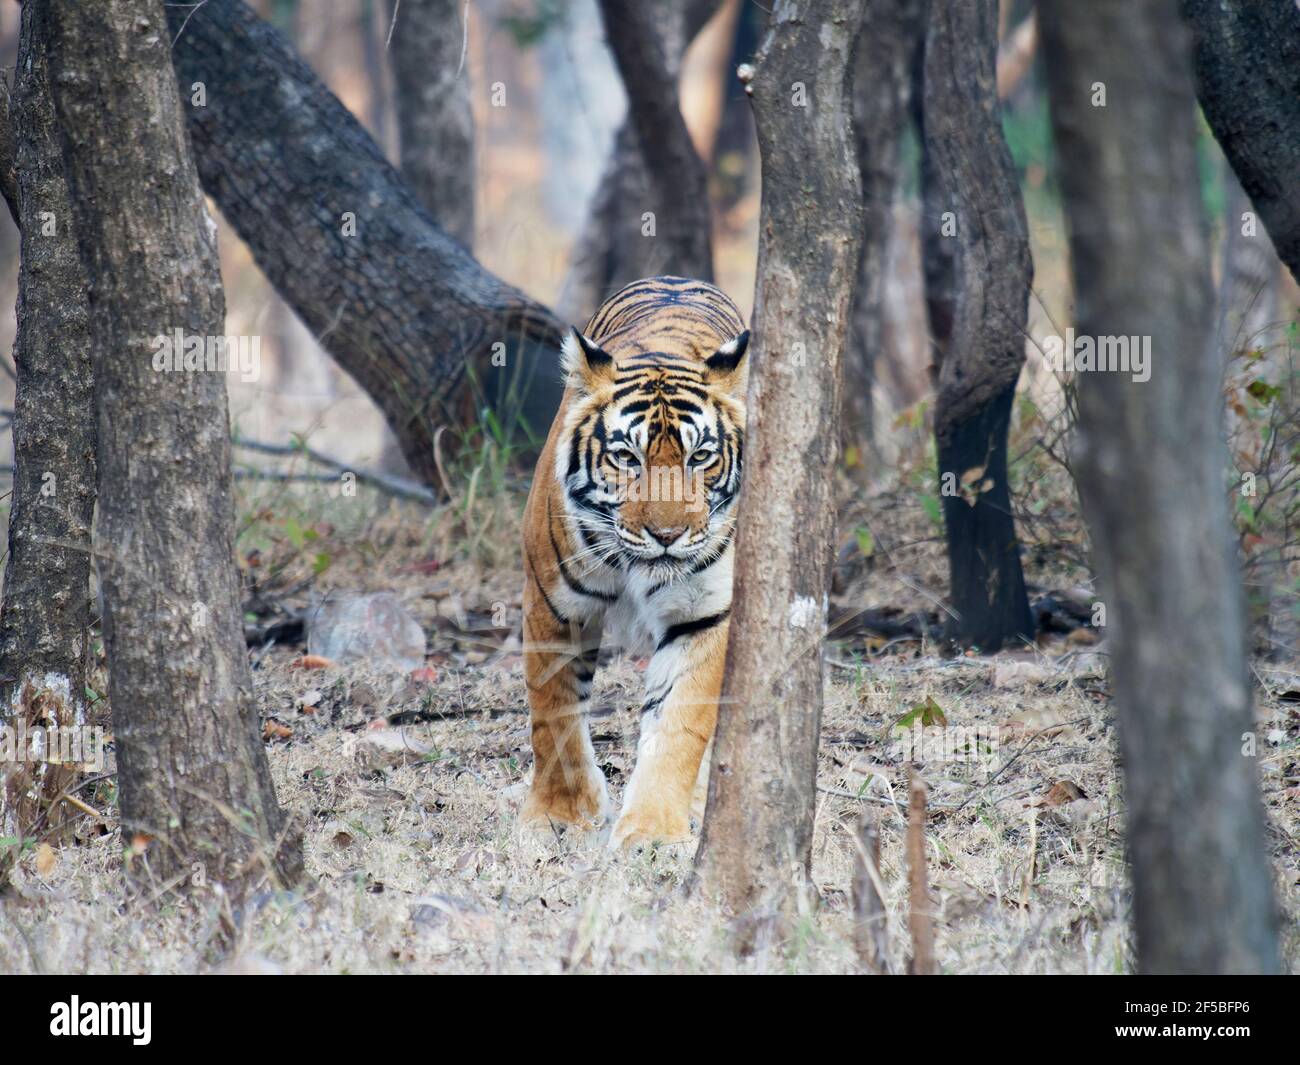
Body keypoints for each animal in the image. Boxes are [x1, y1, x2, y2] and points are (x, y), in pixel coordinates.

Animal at [520, 276, 749, 849]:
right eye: (627, 457)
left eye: (700, 457)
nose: (668, 535)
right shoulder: (551, 605)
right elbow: (553, 714)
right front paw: (559, 815)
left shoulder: (705, 615)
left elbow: (679, 725)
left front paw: (654, 830)